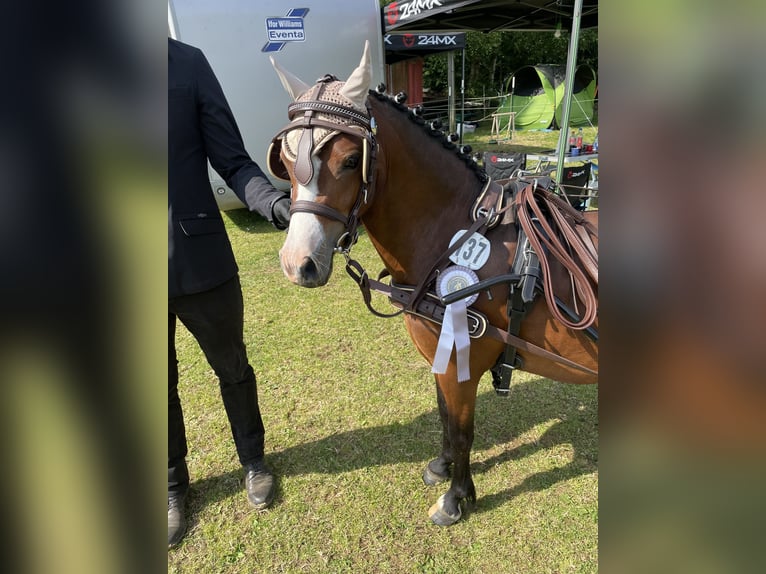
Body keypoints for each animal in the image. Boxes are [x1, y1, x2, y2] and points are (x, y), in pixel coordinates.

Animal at [270, 41, 600, 528]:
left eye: (350, 160)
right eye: (288, 161)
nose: (299, 264)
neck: (453, 233)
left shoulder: (462, 357)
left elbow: (462, 430)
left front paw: (456, 497)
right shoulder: (440, 355)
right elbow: (445, 418)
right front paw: (442, 467)